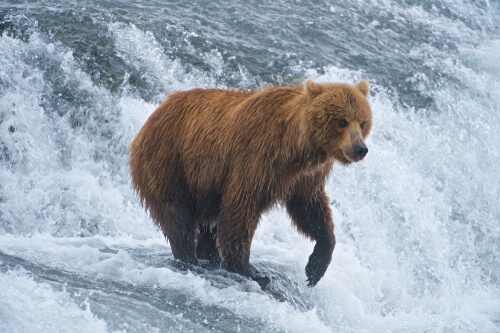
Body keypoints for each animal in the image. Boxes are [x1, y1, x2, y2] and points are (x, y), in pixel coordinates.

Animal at [129, 79, 372, 286]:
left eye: (363, 122)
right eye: (342, 121)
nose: (360, 148)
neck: (297, 147)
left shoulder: (306, 176)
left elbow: (310, 208)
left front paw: (316, 266)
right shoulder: (258, 158)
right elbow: (241, 209)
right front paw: (250, 270)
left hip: (205, 188)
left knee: (209, 225)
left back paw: (209, 256)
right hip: (170, 164)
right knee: (177, 218)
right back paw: (190, 258)